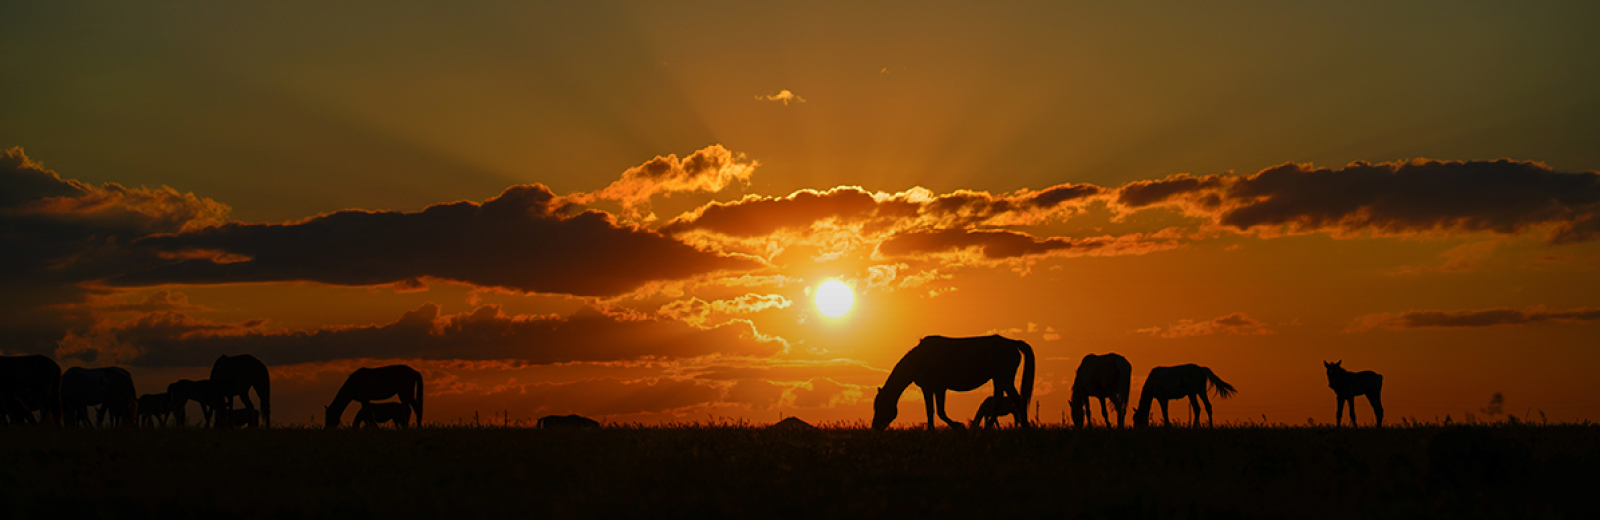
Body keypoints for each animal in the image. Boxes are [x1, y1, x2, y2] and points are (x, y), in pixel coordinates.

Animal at [876, 332, 1036, 428]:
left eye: (879, 407)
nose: (875, 428)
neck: (919, 359)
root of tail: (1012, 343)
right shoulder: (931, 388)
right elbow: (932, 411)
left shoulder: (937, 388)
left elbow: (938, 411)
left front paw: (958, 426)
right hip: (999, 379)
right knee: (999, 403)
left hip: (1004, 378)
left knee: (1016, 402)